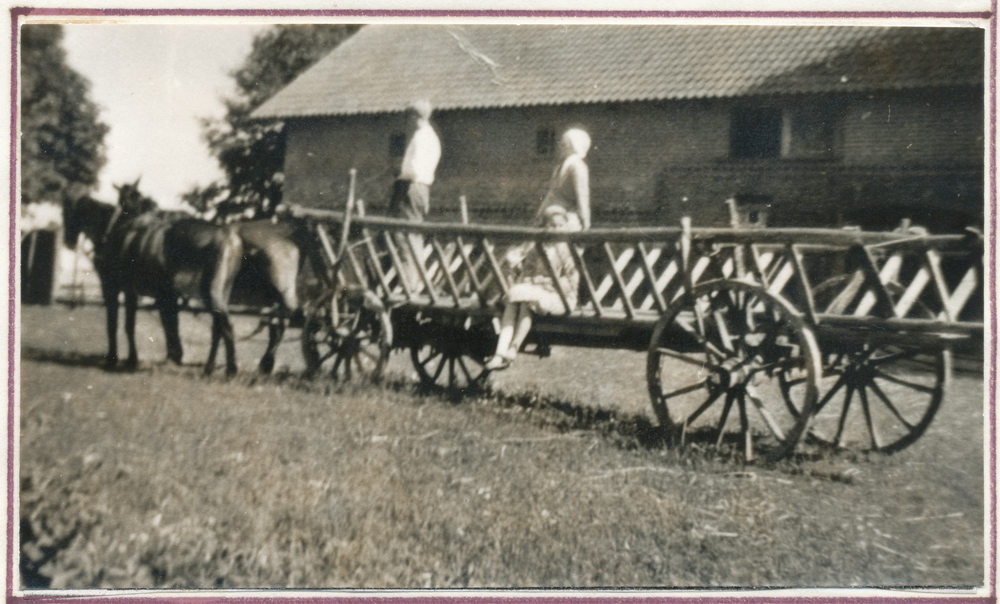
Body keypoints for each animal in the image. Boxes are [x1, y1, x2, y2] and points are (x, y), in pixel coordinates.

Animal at [62, 182, 244, 376]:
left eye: (67, 209)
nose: (68, 241)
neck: (115, 230)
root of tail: (229, 237)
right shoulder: (133, 291)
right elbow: (133, 324)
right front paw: (132, 359)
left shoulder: (111, 286)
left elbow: (113, 324)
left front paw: (112, 359)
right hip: (221, 292)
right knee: (217, 327)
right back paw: (210, 367)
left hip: (209, 293)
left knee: (225, 325)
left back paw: (230, 369)